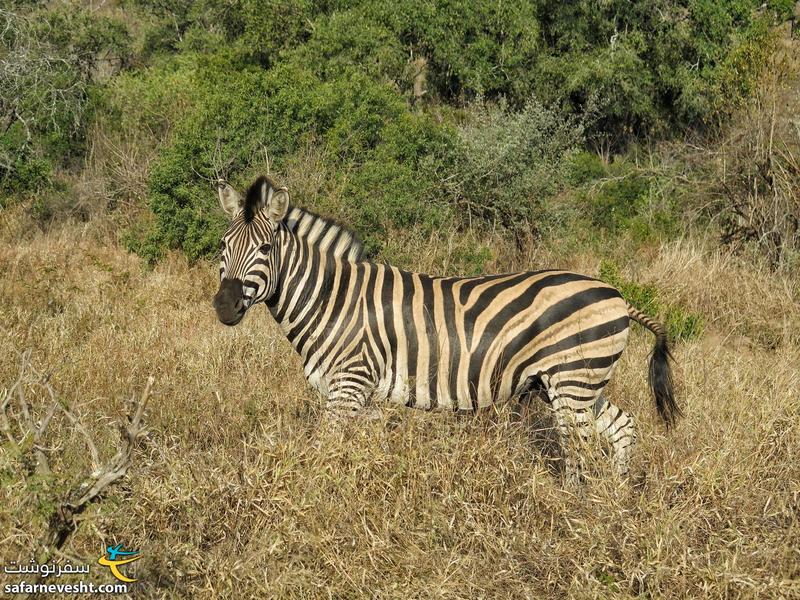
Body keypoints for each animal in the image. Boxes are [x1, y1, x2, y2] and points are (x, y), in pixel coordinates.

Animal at [214, 176, 680, 480]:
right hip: (575, 384)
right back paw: (616, 500)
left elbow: (326, 450)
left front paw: (322, 496)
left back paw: (576, 508)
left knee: (581, 450)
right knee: (623, 427)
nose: (223, 305)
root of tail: (617, 294)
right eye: (223, 246)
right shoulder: (359, 395)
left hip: (573, 381)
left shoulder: (349, 385)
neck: (332, 299)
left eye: (265, 248)